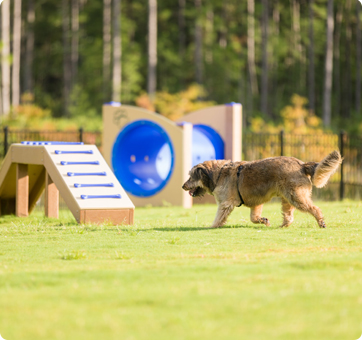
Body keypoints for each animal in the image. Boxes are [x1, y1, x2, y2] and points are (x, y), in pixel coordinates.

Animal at [182, 151, 344, 228]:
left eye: (190, 176)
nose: (183, 186)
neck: (218, 173)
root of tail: (302, 164)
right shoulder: (256, 203)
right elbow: (253, 218)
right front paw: (263, 220)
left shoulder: (225, 204)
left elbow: (219, 217)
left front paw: (213, 226)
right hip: (288, 199)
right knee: (289, 216)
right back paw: (283, 225)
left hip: (297, 197)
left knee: (315, 209)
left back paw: (321, 222)